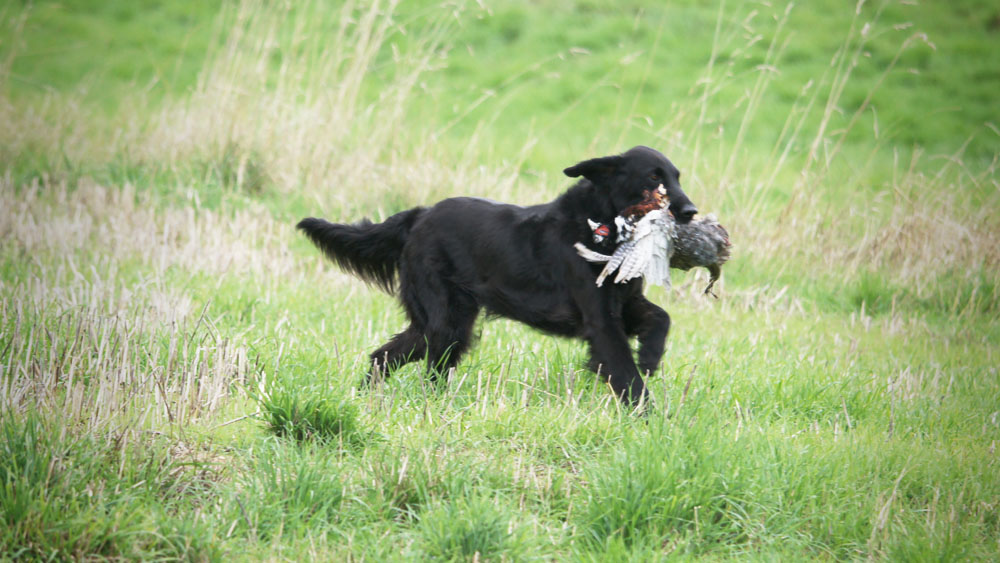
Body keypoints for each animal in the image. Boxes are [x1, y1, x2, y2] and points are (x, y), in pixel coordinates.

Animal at [300, 145, 700, 406]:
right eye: (653, 178)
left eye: (677, 177)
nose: (690, 212)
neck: (601, 223)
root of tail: (419, 215)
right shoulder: (601, 321)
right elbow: (627, 377)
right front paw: (651, 420)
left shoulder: (625, 302)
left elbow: (661, 317)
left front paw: (650, 356)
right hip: (446, 323)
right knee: (419, 366)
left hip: (442, 325)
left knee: (386, 355)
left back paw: (371, 397)